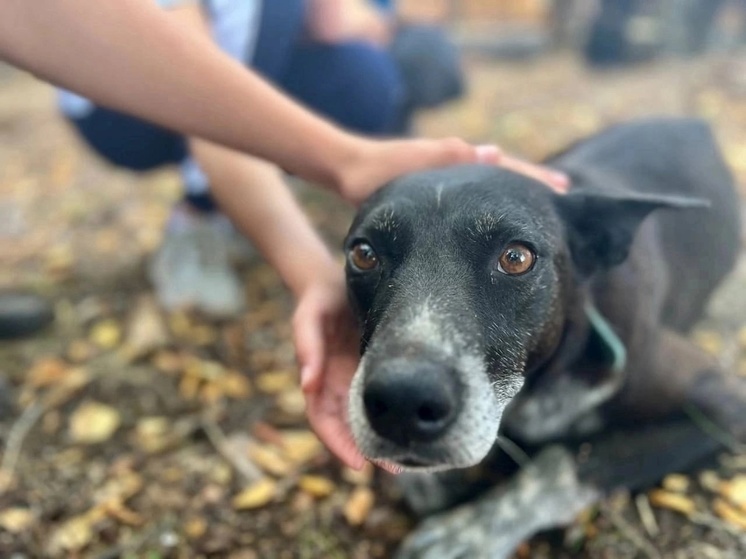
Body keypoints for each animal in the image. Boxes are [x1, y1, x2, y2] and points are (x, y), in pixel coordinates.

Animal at [344, 118, 744, 556]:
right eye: (363, 254)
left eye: (516, 258)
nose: (402, 401)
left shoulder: (724, 399)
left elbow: (562, 462)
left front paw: (469, 532)